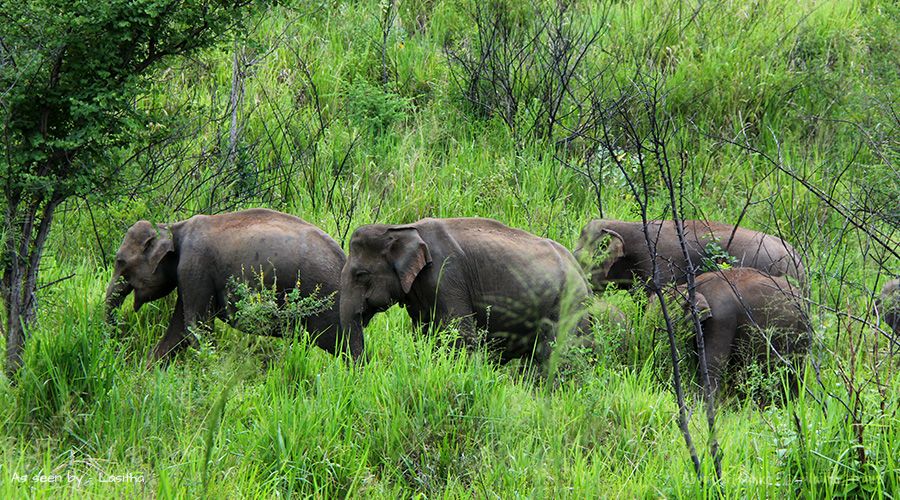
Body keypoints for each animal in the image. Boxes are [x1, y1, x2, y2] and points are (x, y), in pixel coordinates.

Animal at [103, 208, 360, 364]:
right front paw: (148, 372)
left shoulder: (194, 267)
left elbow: (197, 327)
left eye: (120, 262)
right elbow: (178, 331)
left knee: (345, 346)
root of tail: (342, 257)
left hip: (328, 300)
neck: (173, 227)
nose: (116, 347)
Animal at [338, 218, 592, 364]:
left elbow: (460, 335)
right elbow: (423, 333)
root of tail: (581, 273)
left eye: (361, 275)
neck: (401, 228)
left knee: (553, 355)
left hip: (568, 304)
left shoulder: (446, 276)